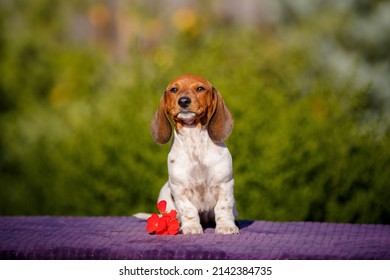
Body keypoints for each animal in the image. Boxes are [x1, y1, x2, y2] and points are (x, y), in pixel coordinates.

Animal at [152, 73, 238, 233]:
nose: (184, 101)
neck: (194, 140)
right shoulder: (179, 189)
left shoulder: (225, 185)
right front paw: (191, 227)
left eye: (200, 88)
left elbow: (223, 208)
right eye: (174, 89)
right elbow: (188, 209)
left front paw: (226, 226)